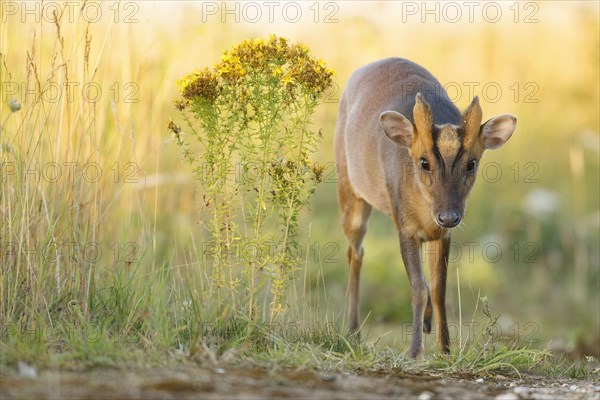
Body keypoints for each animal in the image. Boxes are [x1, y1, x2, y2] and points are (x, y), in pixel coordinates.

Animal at [336, 57, 516, 358]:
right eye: (423, 162)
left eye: (472, 163)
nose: (449, 216)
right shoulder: (405, 227)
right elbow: (418, 288)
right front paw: (414, 351)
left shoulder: (442, 234)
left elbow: (438, 287)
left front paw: (445, 349)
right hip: (349, 190)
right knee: (355, 252)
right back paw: (352, 331)